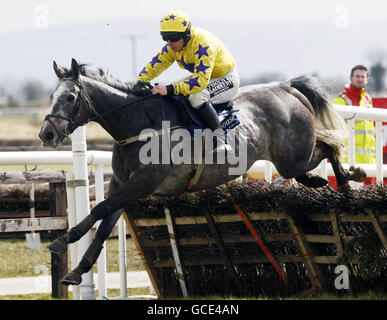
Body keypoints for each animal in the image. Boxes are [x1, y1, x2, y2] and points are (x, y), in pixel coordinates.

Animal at [38, 59, 366, 284]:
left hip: (293, 157)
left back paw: (347, 182)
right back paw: (332, 181)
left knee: (328, 147)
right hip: (291, 159)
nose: (46, 134)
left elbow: (99, 209)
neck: (140, 126)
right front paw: (77, 271)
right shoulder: (122, 183)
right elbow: (105, 223)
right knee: (319, 155)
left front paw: (62, 240)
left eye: (69, 97)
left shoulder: (143, 182)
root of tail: (287, 87)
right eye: (51, 96)